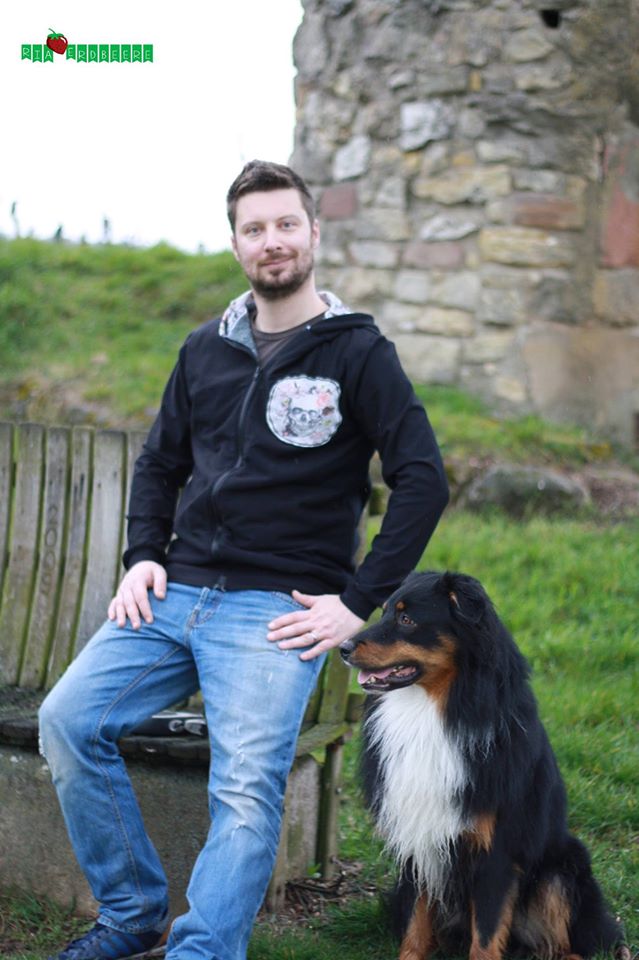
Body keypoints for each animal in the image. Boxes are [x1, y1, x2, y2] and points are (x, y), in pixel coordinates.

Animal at [340, 571, 630, 960]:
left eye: (407, 619)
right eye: (384, 611)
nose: (343, 648)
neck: (435, 711)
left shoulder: (497, 853)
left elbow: (487, 935)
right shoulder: (419, 840)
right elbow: (417, 924)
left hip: (563, 867)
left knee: (571, 944)